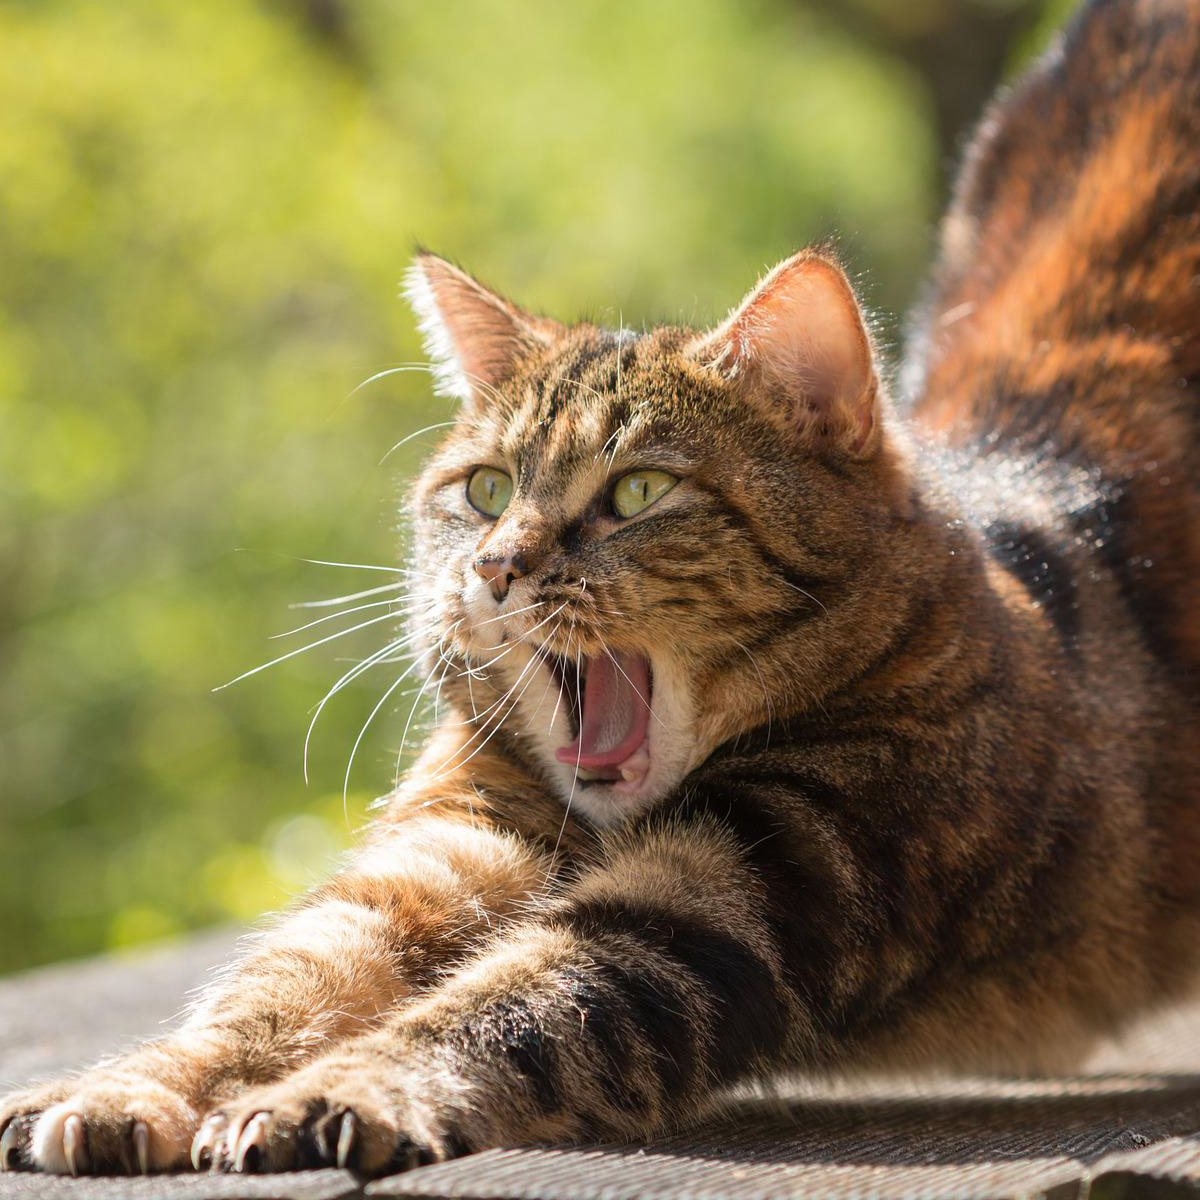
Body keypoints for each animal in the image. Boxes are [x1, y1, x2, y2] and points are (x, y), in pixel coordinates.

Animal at [2, 0, 1200, 1176]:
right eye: (485, 489)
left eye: (638, 491)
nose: (495, 567)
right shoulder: (455, 836)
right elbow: (289, 975)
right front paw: (128, 1086)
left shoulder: (740, 894)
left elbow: (512, 1004)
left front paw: (337, 1088)